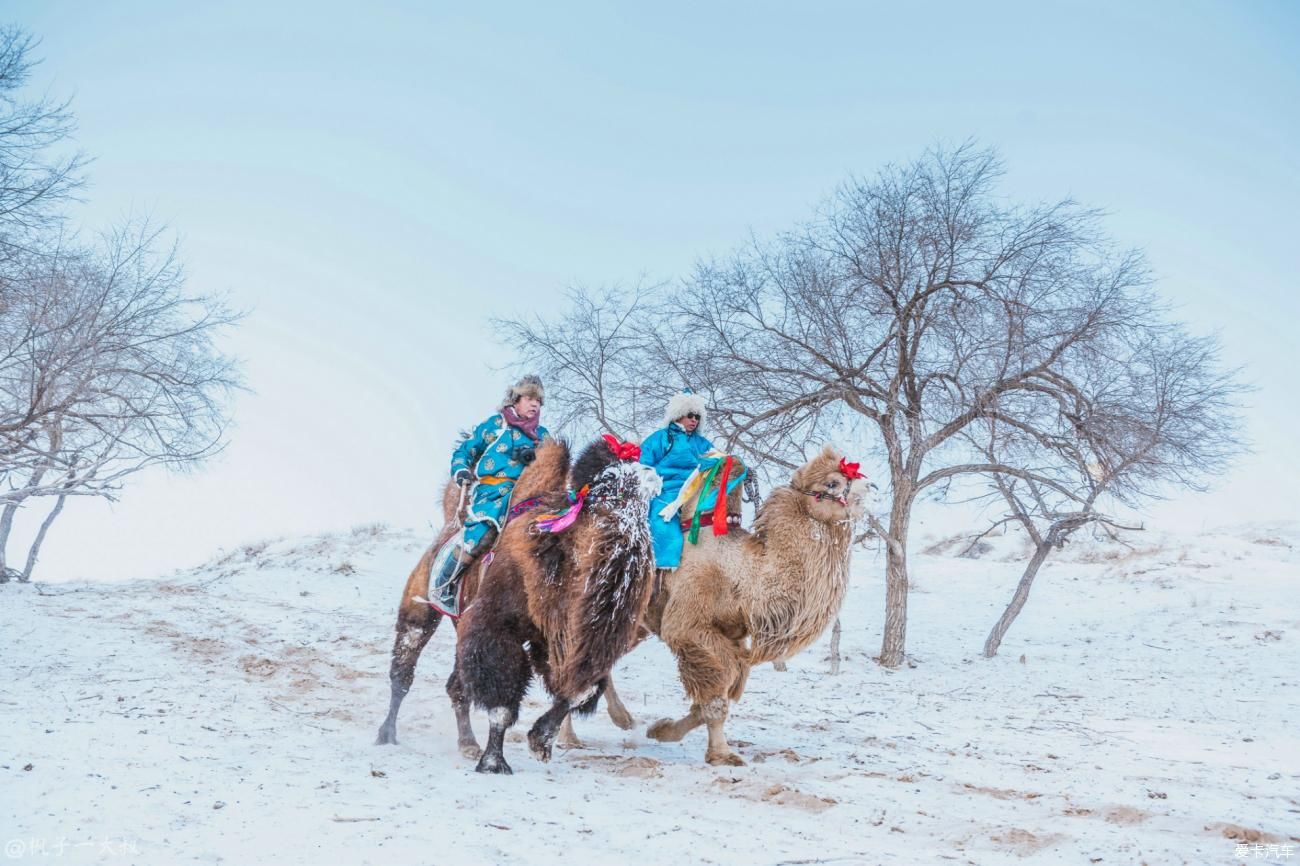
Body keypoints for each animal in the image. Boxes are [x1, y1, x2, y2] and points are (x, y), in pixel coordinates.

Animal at [374, 434, 637, 754]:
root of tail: (449, 528)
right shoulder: (497, 625)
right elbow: (502, 690)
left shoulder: (551, 640)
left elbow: (580, 688)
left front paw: (541, 738)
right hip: (420, 606)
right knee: (403, 670)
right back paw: (387, 733)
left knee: (455, 685)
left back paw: (467, 742)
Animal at [454, 434, 660, 769]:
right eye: (608, 481)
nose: (626, 544)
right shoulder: (499, 621)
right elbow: (502, 698)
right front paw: (494, 763)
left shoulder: (565, 640)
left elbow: (580, 688)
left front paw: (541, 742)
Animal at [647, 444, 868, 764]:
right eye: (832, 483)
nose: (871, 487)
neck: (742, 571)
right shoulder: (688, 626)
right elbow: (717, 693)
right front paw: (722, 754)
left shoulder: (734, 635)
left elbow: (716, 695)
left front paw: (661, 730)